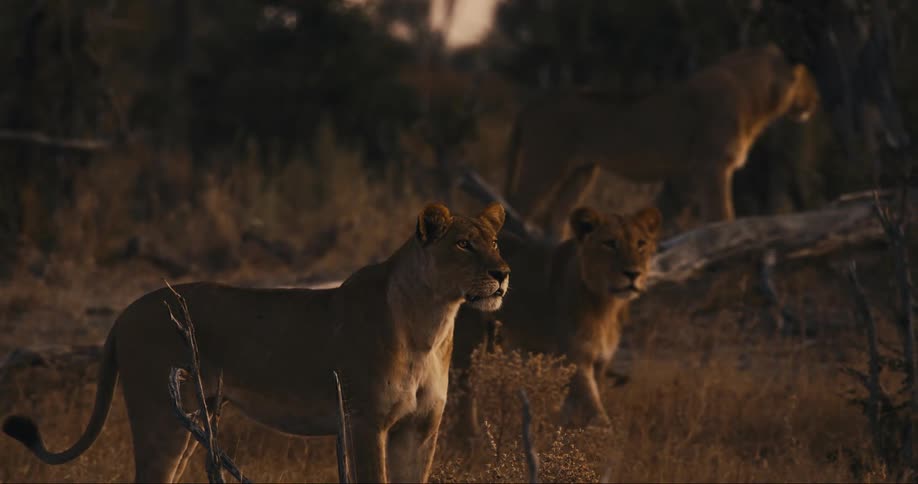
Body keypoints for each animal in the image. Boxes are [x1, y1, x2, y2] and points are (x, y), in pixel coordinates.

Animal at [3, 202, 510, 483]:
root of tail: (123, 312)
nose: (503, 273)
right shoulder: (366, 423)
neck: (431, 322)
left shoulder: (421, 430)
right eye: (463, 245)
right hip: (158, 417)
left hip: (192, 417)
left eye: (495, 242)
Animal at [453, 206, 661, 430]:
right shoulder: (576, 359)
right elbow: (596, 412)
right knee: (464, 393)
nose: (633, 273)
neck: (606, 305)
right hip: (469, 340)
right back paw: (470, 436)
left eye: (641, 244)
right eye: (610, 243)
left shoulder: (600, 363)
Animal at [504, 43, 819, 241]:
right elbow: (721, 215)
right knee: (516, 207)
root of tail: (532, 103)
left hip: (581, 172)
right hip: (546, 163)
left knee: (556, 219)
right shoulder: (713, 165)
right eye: (808, 79)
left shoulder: (698, 171)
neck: (759, 99)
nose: (815, 102)